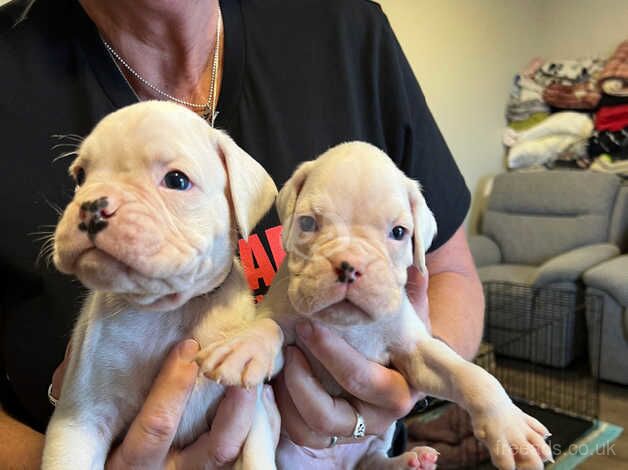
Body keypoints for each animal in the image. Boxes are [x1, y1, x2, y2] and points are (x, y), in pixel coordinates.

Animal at [41, 101, 282, 468]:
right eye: (81, 176)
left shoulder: (249, 413)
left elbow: (257, 456)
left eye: (177, 180)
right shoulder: (80, 419)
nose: (91, 206)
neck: (170, 310)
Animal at [204, 141, 552, 468]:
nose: (349, 265)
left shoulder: (415, 350)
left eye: (399, 232)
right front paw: (245, 346)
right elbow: (270, 325)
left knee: (372, 459)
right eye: (307, 223)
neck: (346, 326)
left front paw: (511, 428)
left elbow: (469, 374)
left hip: (379, 438)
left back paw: (410, 461)